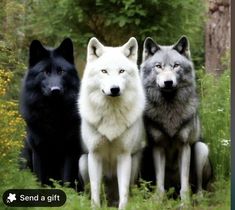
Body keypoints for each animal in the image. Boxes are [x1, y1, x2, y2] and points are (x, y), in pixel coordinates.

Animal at [20, 38, 82, 189]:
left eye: (61, 72)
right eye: (45, 72)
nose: (55, 90)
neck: (53, 113)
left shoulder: (69, 152)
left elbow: (66, 180)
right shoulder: (38, 150)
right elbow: (40, 179)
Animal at [78, 37, 146, 209]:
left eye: (121, 71)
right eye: (104, 71)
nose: (114, 89)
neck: (111, 113)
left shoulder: (124, 156)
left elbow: (124, 192)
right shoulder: (94, 155)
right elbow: (96, 190)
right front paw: (95, 207)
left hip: (135, 163)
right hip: (83, 162)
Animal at [140, 35, 212, 202]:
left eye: (176, 66)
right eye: (158, 66)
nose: (168, 82)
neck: (169, 109)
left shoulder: (184, 147)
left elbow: (184, 185)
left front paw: (185, 203)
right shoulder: (158, 147)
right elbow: (159, 182)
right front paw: (158, 201)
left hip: (201, 149)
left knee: (198, 186)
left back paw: (198, 198)